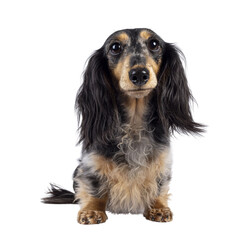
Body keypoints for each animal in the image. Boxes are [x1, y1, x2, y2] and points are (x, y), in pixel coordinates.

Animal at [42, 28, 203, 225]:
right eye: (115, 47)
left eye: (154, 44)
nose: (139, 74)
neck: (134, 123)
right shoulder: (90, 163)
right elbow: (94, 187)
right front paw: (92, 211)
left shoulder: (162, 162)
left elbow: (158, 185)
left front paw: (158, 207)